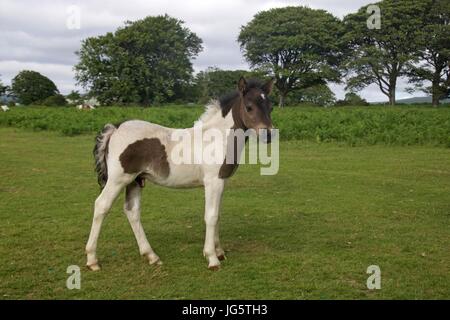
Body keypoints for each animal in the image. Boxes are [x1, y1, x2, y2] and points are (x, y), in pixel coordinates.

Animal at [84, 77, 274, 270]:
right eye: (249, 107)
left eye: (270, 106)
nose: (268, 134)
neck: (216, 138)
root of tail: (116, 128)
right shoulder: (212, 182)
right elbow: (211, 216)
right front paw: (212, 258)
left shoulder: (221, 181)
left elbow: (218, 215)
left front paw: (219, 252)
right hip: (118, 179)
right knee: (101, 205)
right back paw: (92, 260)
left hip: (135, 180)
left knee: (132, 211)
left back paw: (151, 256)